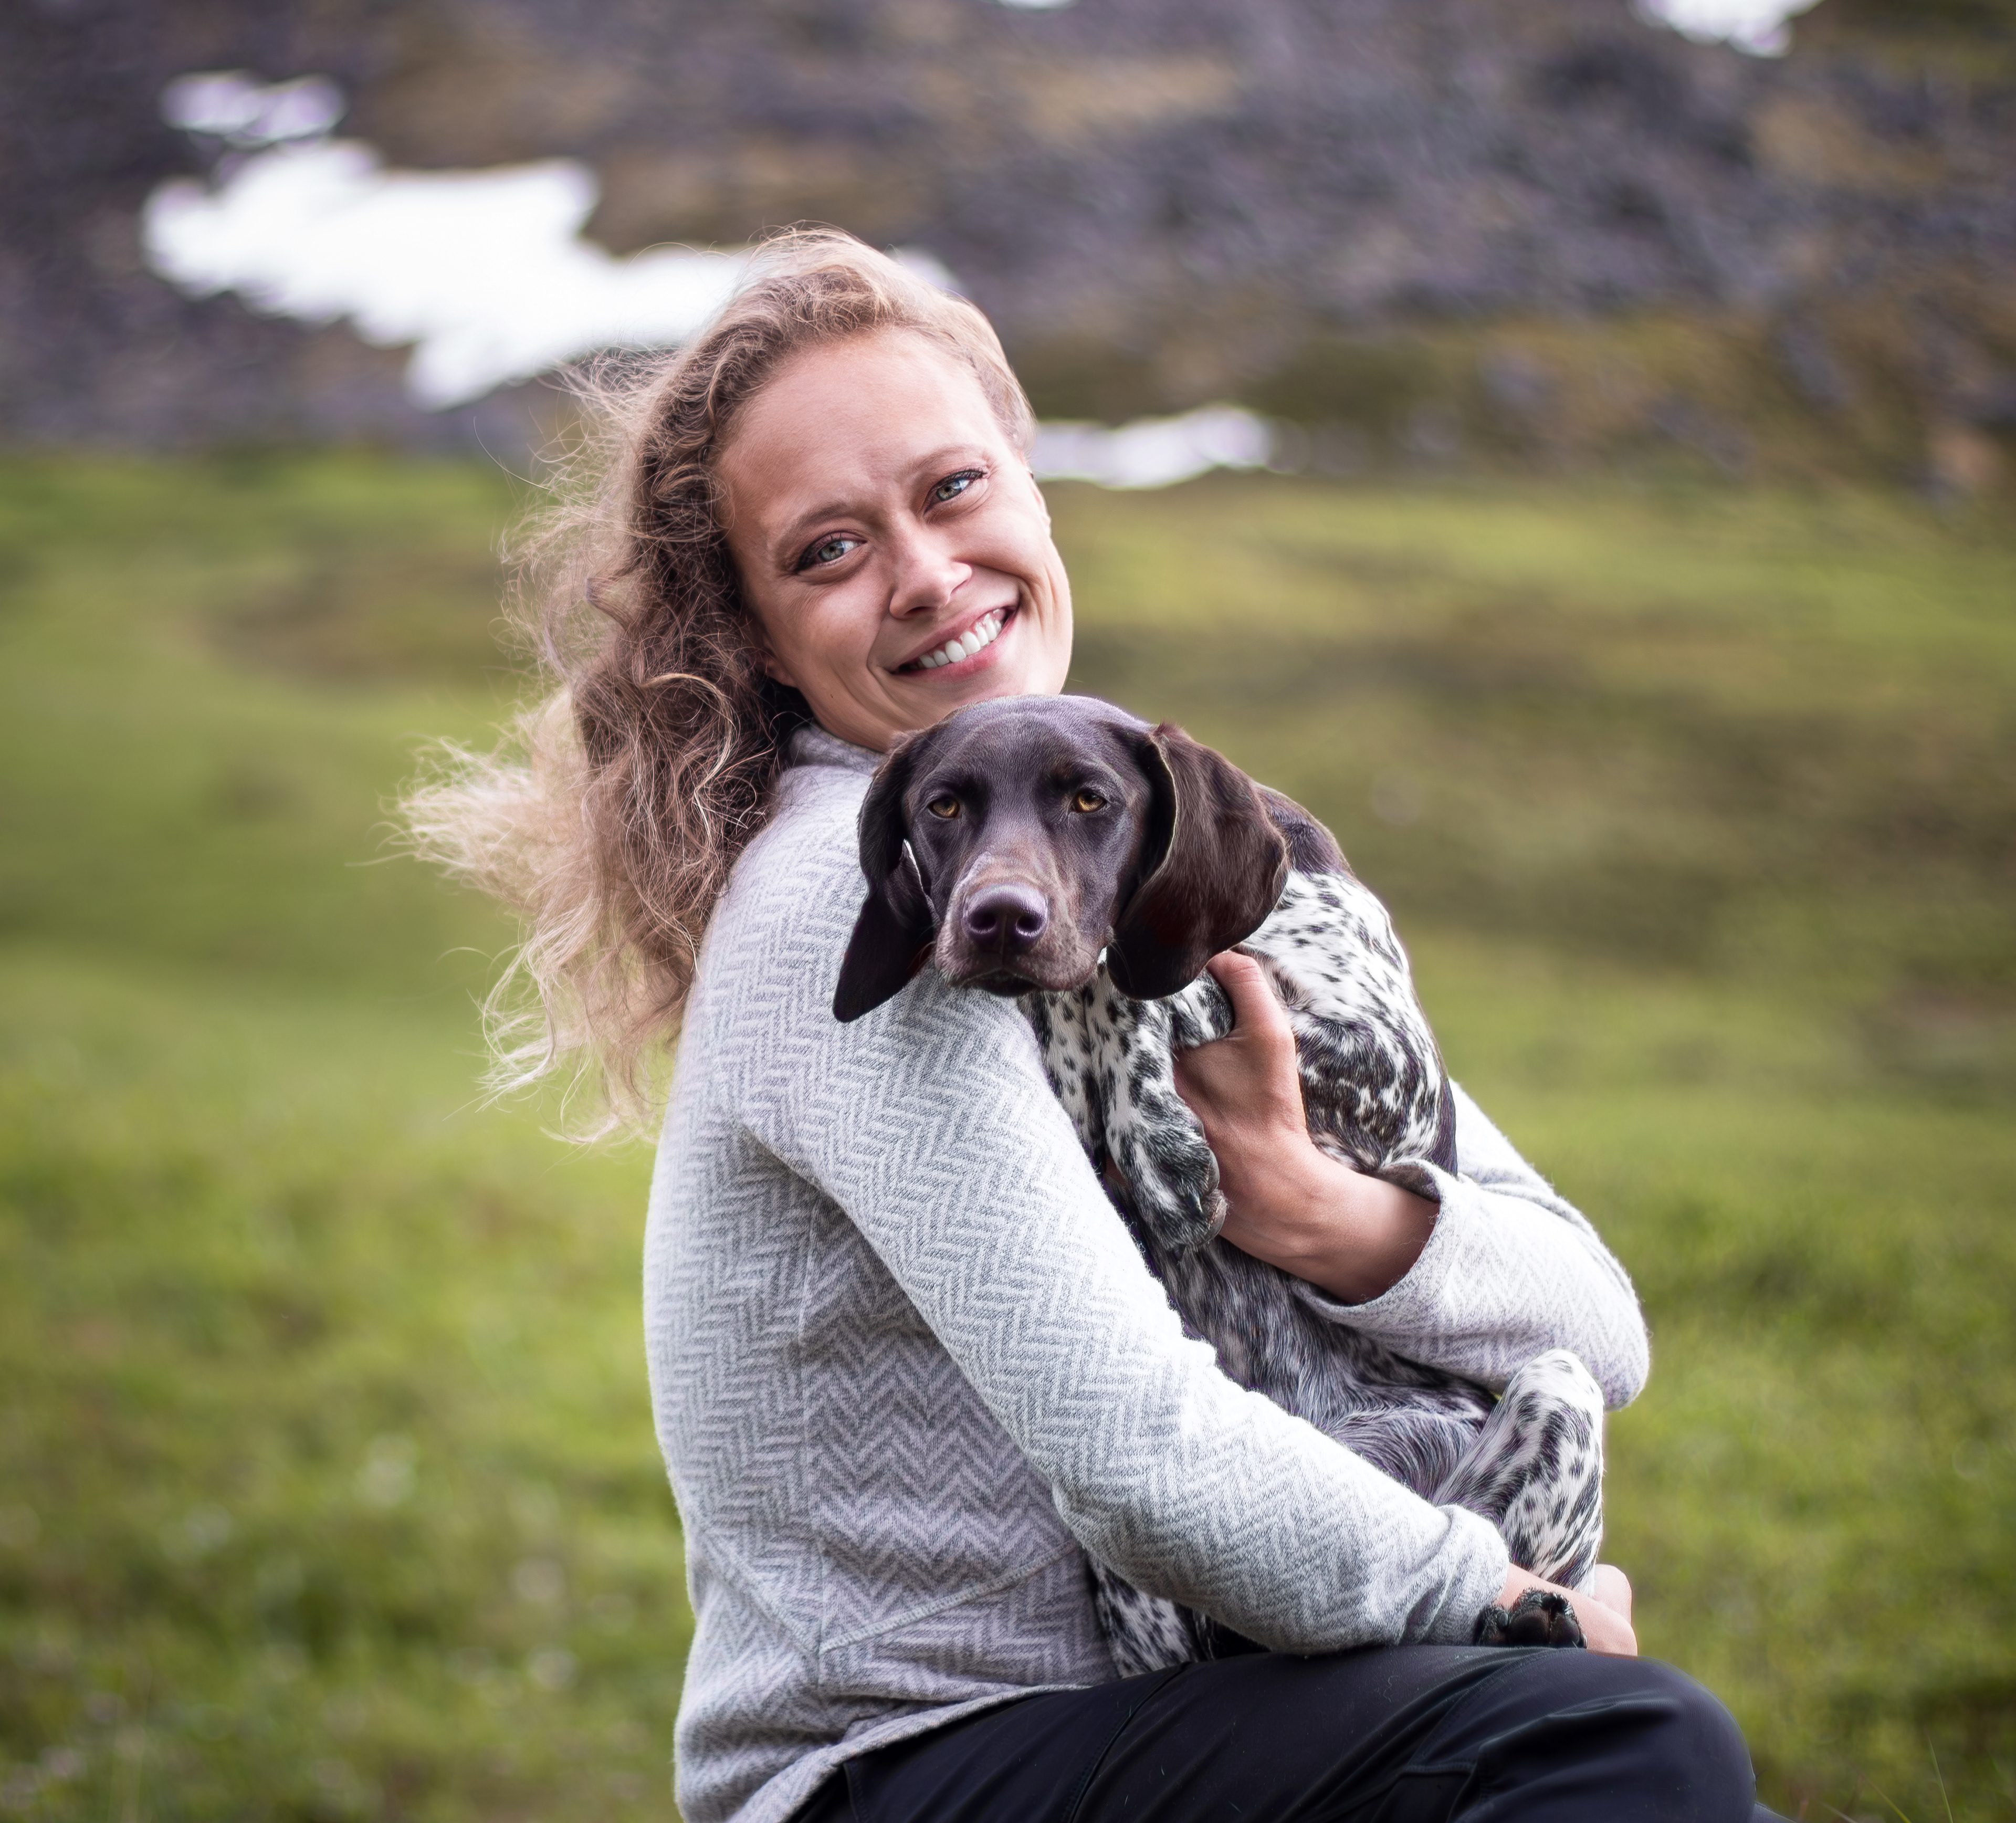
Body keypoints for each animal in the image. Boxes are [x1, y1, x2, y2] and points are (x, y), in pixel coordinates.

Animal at [834, 695, 1605, 1671]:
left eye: (1090, 799)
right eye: (942, 806)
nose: (1000, 919)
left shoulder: (1396, 1071)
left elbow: (1146, 982)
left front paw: (1162, 1140)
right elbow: (1115, 995)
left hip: (1559, 1386)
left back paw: (1525, 1619)